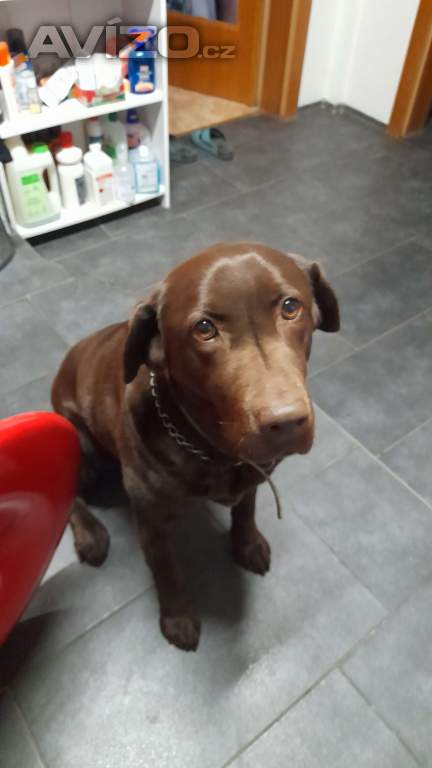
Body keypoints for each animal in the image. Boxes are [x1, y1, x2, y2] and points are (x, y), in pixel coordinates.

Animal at [51, 242, 340, 651]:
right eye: (204, 328)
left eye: (290, 307)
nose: (285, 422)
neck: (210, 447)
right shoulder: (150, 520)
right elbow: (167, 570)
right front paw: (178, 618)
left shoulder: (251, 474)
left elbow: (246, 509)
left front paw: (247, 544)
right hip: (78, 439)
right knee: (70, 492)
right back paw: (91, 534)